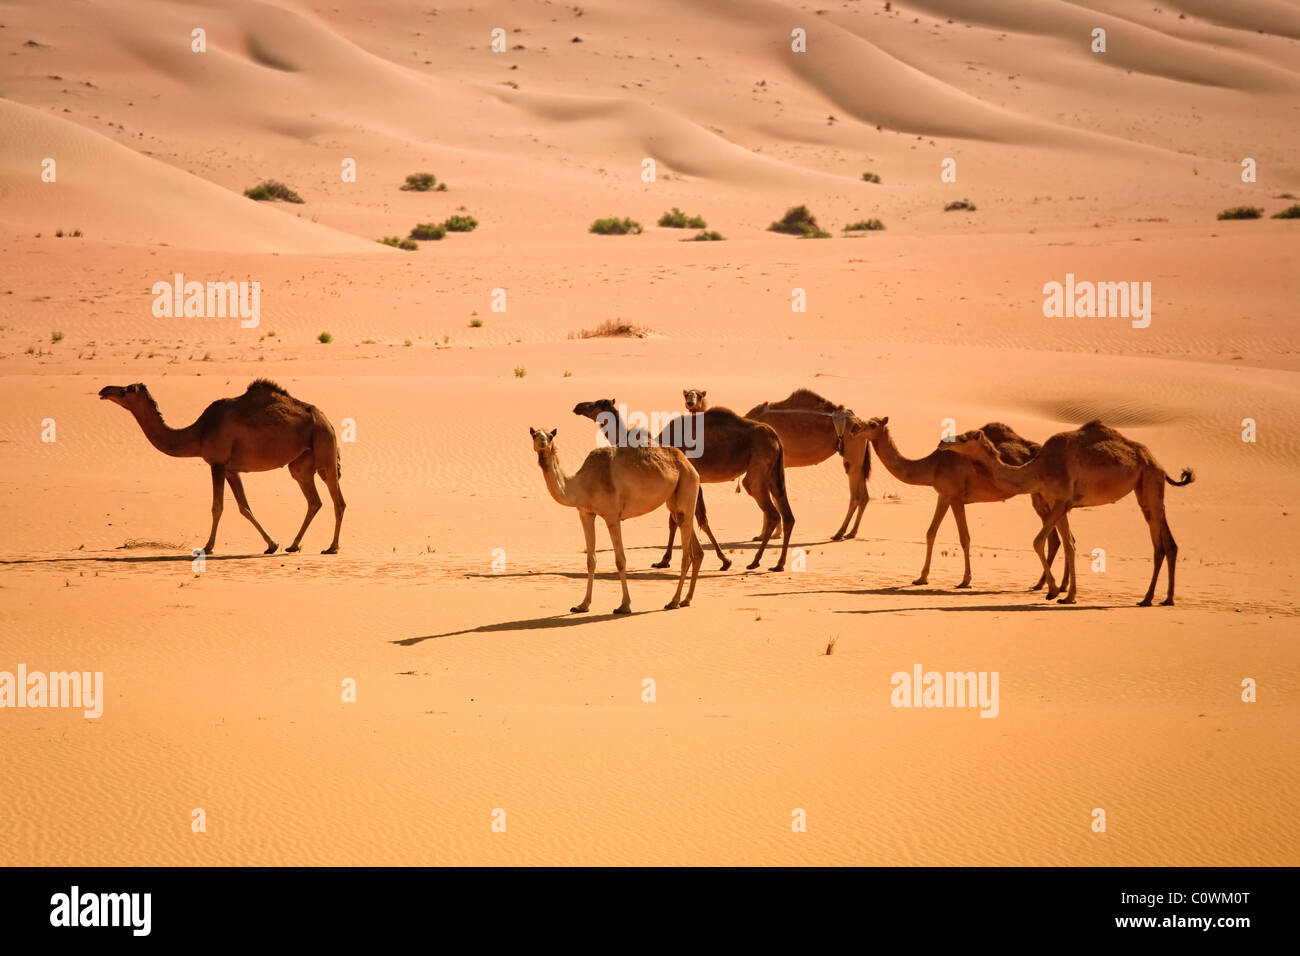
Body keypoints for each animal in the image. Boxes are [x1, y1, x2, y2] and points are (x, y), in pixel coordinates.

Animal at [99, 379, 345, 554]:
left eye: (126, 390)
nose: (105, 390)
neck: (198, 433)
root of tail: (328, 420)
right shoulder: (231, 469)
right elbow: (244, 507)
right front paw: (272, 544)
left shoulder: (216, 462)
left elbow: (217, 506)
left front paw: (208, 547)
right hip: (301, 463)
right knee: (314, 500)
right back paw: (294, 545)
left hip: (324, 448)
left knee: (337, 500)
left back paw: (331, 547)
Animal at [533, 426, 707, 613]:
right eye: (534, 434)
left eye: (550, 436)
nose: (542, 442)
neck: (583, 483)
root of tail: (689, 465)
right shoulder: (585, 514)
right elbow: (590, 560)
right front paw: (583, 605)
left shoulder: (612, 515)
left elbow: (620, 560)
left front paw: (624, 605)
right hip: (675, 501)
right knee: (695, 548)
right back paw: (686, 599)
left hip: (687, 485)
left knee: (686, 555)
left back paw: (673, 601)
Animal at [574, 400, 795, 572]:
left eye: (594, 404)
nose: (577, 406)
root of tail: (775, 436)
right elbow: (682, 520)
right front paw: (665, 560)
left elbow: (696, 519)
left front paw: (724, 560)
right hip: (774, 472)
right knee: (787, 515)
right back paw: (778, 564)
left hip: (757, 470)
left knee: (772, 511)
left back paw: (756, 561)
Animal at [842, 418, 1066, 590]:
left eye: (872, 424)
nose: (854, 429)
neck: (931, 466)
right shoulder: (944, 495)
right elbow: (930, 533)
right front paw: (921, 578)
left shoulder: (956, 496)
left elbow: (964, 537)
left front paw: (965, 581)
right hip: (1039, 496)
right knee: (1056, 539)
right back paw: (1045, 585)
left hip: (1042, 495)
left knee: (1056, 537)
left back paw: (1049, 586)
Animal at [941, 424, 1190, 606]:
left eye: (963, 438)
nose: (943, 443)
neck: (1038, 469)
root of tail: (1158, 463)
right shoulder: (1060, 503)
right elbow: (1069, 544)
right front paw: (1067, 594)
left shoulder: (1061, 500)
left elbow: (1039, 540)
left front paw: (1055, 592)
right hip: (1148, 486)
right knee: (1170, 543)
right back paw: (1166, 599)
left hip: (1149, 482)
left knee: (1158, 545)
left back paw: (1147, 599)